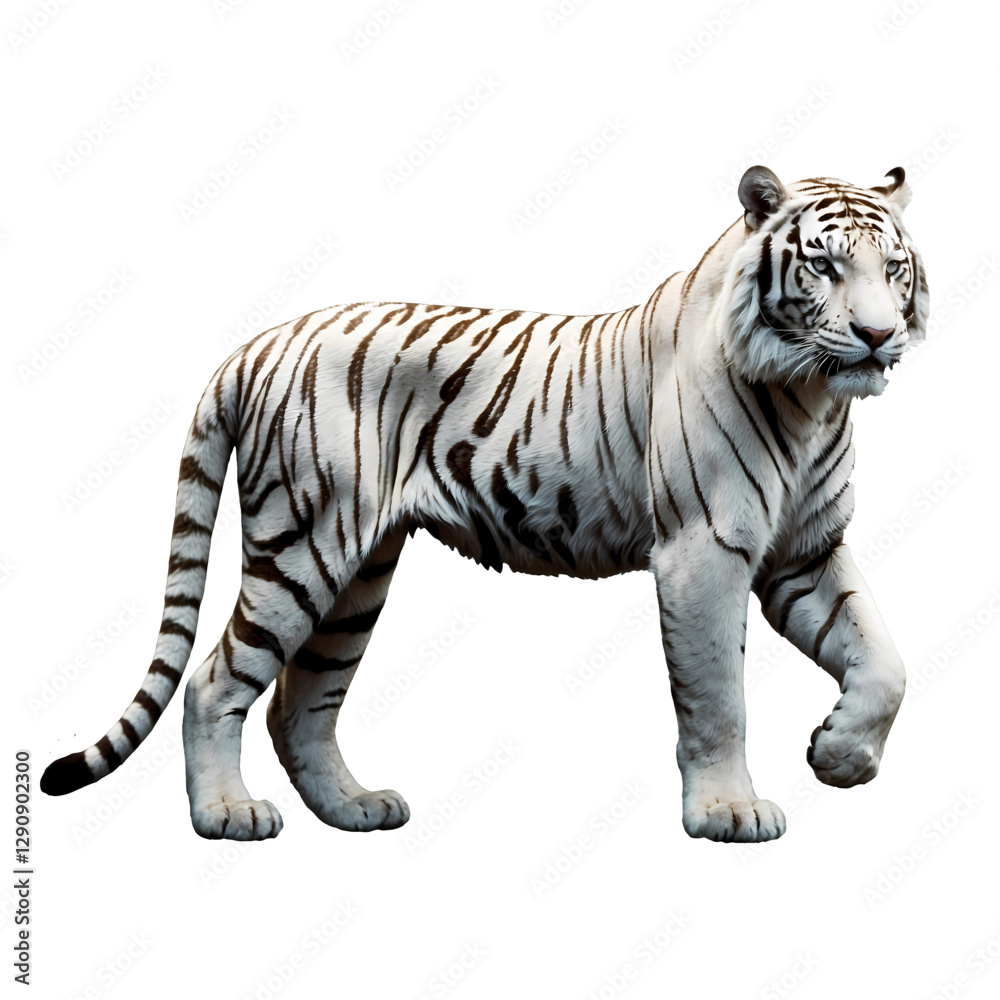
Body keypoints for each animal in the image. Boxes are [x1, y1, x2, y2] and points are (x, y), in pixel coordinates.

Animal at [41, 164, 929, 844]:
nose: (878, 335)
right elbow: (718, 697)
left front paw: (840, 755)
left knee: (299, 704)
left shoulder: (804, 551)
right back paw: (227, 815)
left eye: (893, 268)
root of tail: (255, 345)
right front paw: (727, 813)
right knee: (213, 681)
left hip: (357, 574)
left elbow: (886, 661)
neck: (813, 400)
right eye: (822, 266)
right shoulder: (703, 551)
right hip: (303, 548)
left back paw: (356, 809)